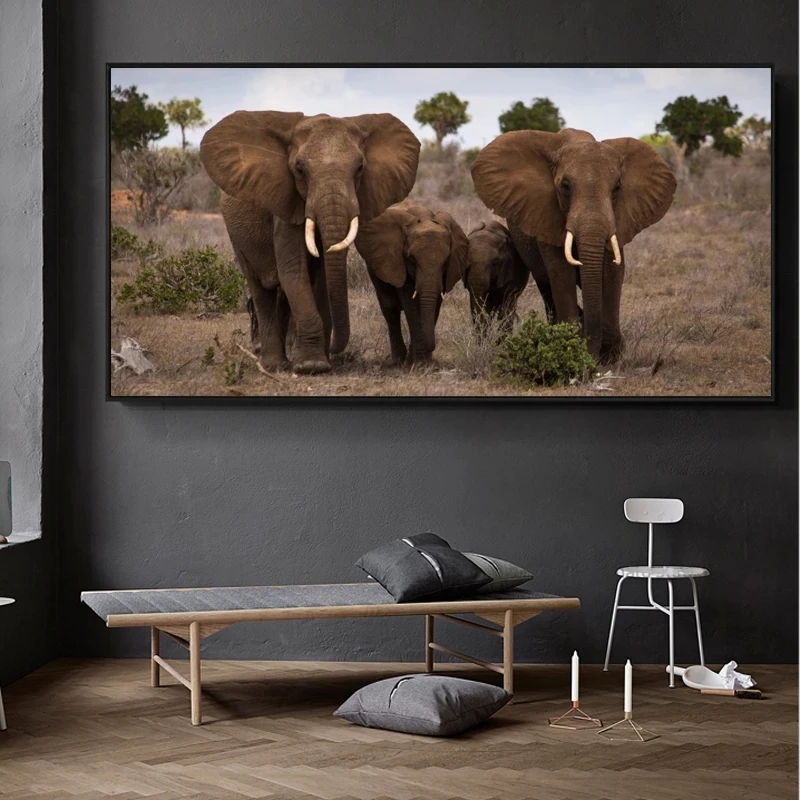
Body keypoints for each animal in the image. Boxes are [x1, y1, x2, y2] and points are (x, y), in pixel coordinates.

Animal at [200, 111, 420, 373]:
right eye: (299, 170)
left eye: (359, 168)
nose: (334, 346)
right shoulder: (286, 203)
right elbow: (293, 271)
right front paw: (312, 366)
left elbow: (323, 275)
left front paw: (319, 361)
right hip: (235, 234)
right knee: (261, 289)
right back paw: (274, 365)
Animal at [355, 204, 468, 365]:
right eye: (412, 260)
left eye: (446, 262)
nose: (432, 347)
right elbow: (411, 306)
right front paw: (420, 364)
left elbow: (434, 304)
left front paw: (423, 363)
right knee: (389, 309)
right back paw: (398, 361)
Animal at [471, 128, 676, 363]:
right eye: (565, 187)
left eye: (617, 188)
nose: (593, 355)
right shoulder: (546, 216)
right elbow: (561, 272)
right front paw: (571, 346)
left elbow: (613, 272)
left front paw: (611, 355)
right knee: (546, 287)